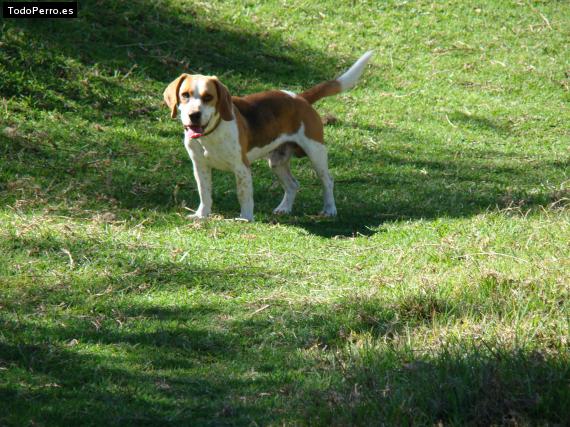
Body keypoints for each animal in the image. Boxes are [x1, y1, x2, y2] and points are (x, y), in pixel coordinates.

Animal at [162, 51, 370, 221]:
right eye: (185, 95)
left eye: (208, 97)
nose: (194, 115)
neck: (211, 134)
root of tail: (300, 98)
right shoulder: (200, 167)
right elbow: (204, 193)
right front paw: (201, 215)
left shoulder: (242, 167)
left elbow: (244, 195)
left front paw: (245, 218)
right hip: (277, 162)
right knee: (293, 185)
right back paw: (284, 209)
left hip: (316, 153)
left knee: (327, 181)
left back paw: (329, 210)